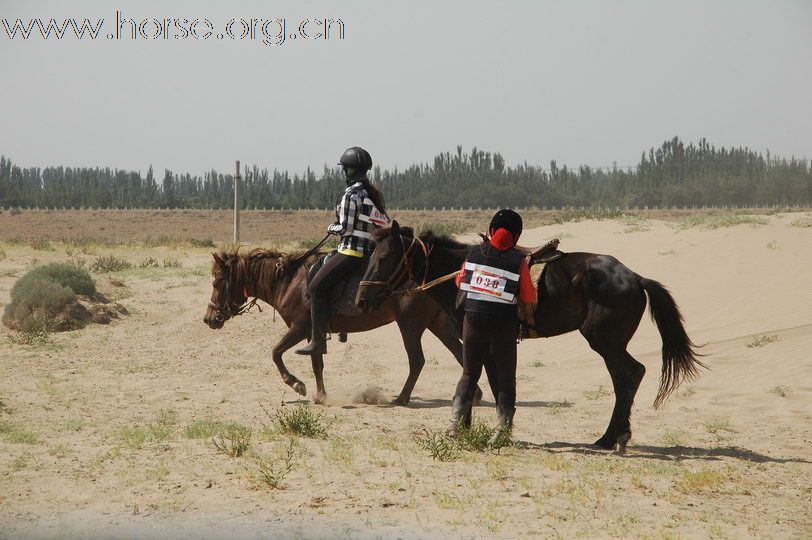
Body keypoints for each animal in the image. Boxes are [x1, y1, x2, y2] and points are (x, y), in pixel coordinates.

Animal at [205, 247, 482, 408]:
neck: (289, 281)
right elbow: (316, 362)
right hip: (438, 324)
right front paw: (320, 395)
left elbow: (276, 353)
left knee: (417, 361)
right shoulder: (313, 334)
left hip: (410, 325)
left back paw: (402, 399)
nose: (209, 319)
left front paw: (296, 384)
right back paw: (474, 395)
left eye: (218, 281)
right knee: (459, 354)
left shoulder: (299, 327)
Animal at [356, 223, 704, 452]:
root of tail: (635, 278)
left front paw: (475, 429)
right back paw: (608, 437)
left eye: (384, 258)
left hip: (604, 341)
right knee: (623, 380)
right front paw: (486, 427)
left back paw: (617, 437)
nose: (361, 300)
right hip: (609, 345)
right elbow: (490, 382)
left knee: (632, 374)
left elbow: (483, 381)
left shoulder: (480, 339)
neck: (462, 272)